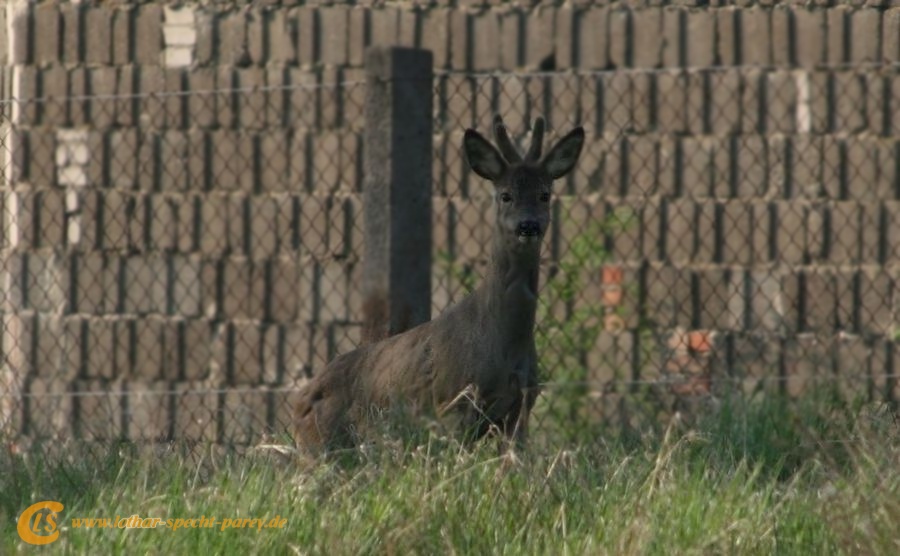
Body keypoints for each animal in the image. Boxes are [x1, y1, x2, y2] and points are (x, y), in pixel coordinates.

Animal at [294, 113, 584, 452]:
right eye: (505, 195)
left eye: (545, 194)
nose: (528, 225)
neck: (501, 344)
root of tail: (299, 402)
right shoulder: (453, 404)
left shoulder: (521, 406)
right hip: (324, 441)